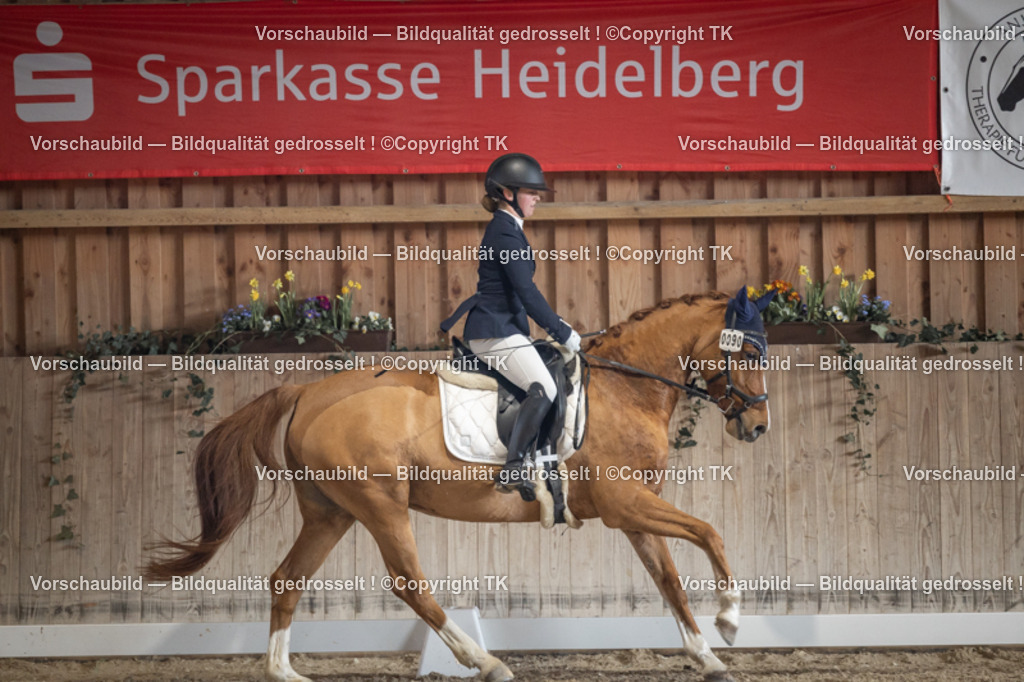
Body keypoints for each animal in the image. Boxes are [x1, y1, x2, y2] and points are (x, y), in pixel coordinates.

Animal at [144, 288, 774, 682]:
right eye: (750, 350)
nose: (758, 427)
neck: (627, 389)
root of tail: (306, 391)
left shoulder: (636, 511)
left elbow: (669, 579)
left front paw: (708, 657)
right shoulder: (625, 505)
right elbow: (710, 533)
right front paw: (729, 620)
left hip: (331, 511)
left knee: (286, 579)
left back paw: (283, 670)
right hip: (380, 504)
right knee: (408, 583)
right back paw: (487, 662)